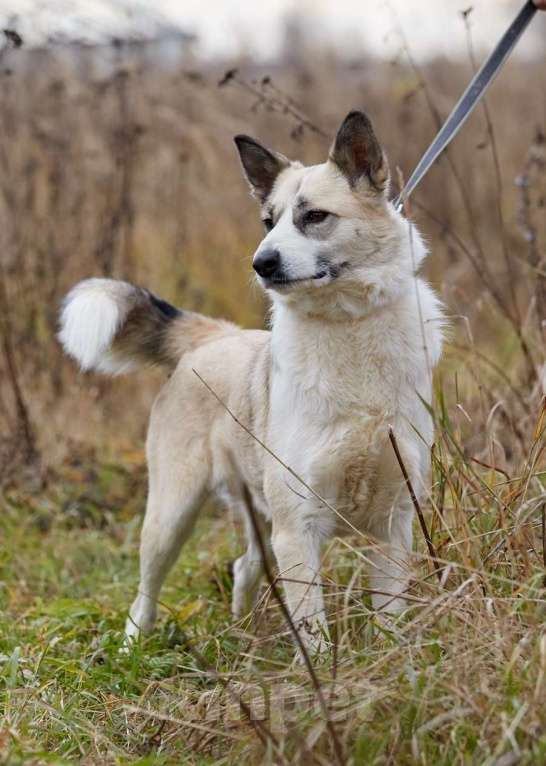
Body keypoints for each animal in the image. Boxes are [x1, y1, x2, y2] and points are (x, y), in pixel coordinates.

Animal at [58, 111, 442, 656]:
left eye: (315, 216)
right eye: (268, 221)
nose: (261, 263)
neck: (346, 327)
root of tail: (215, 335)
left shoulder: (393, 521)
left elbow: (388, 615)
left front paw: (391, 662)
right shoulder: (298, 529)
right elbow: (314, 628)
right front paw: (322, 671)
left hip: (261, 517)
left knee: (244, 566)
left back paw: (243, 632)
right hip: (172, 516)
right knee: (145, 592)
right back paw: (134, 649)